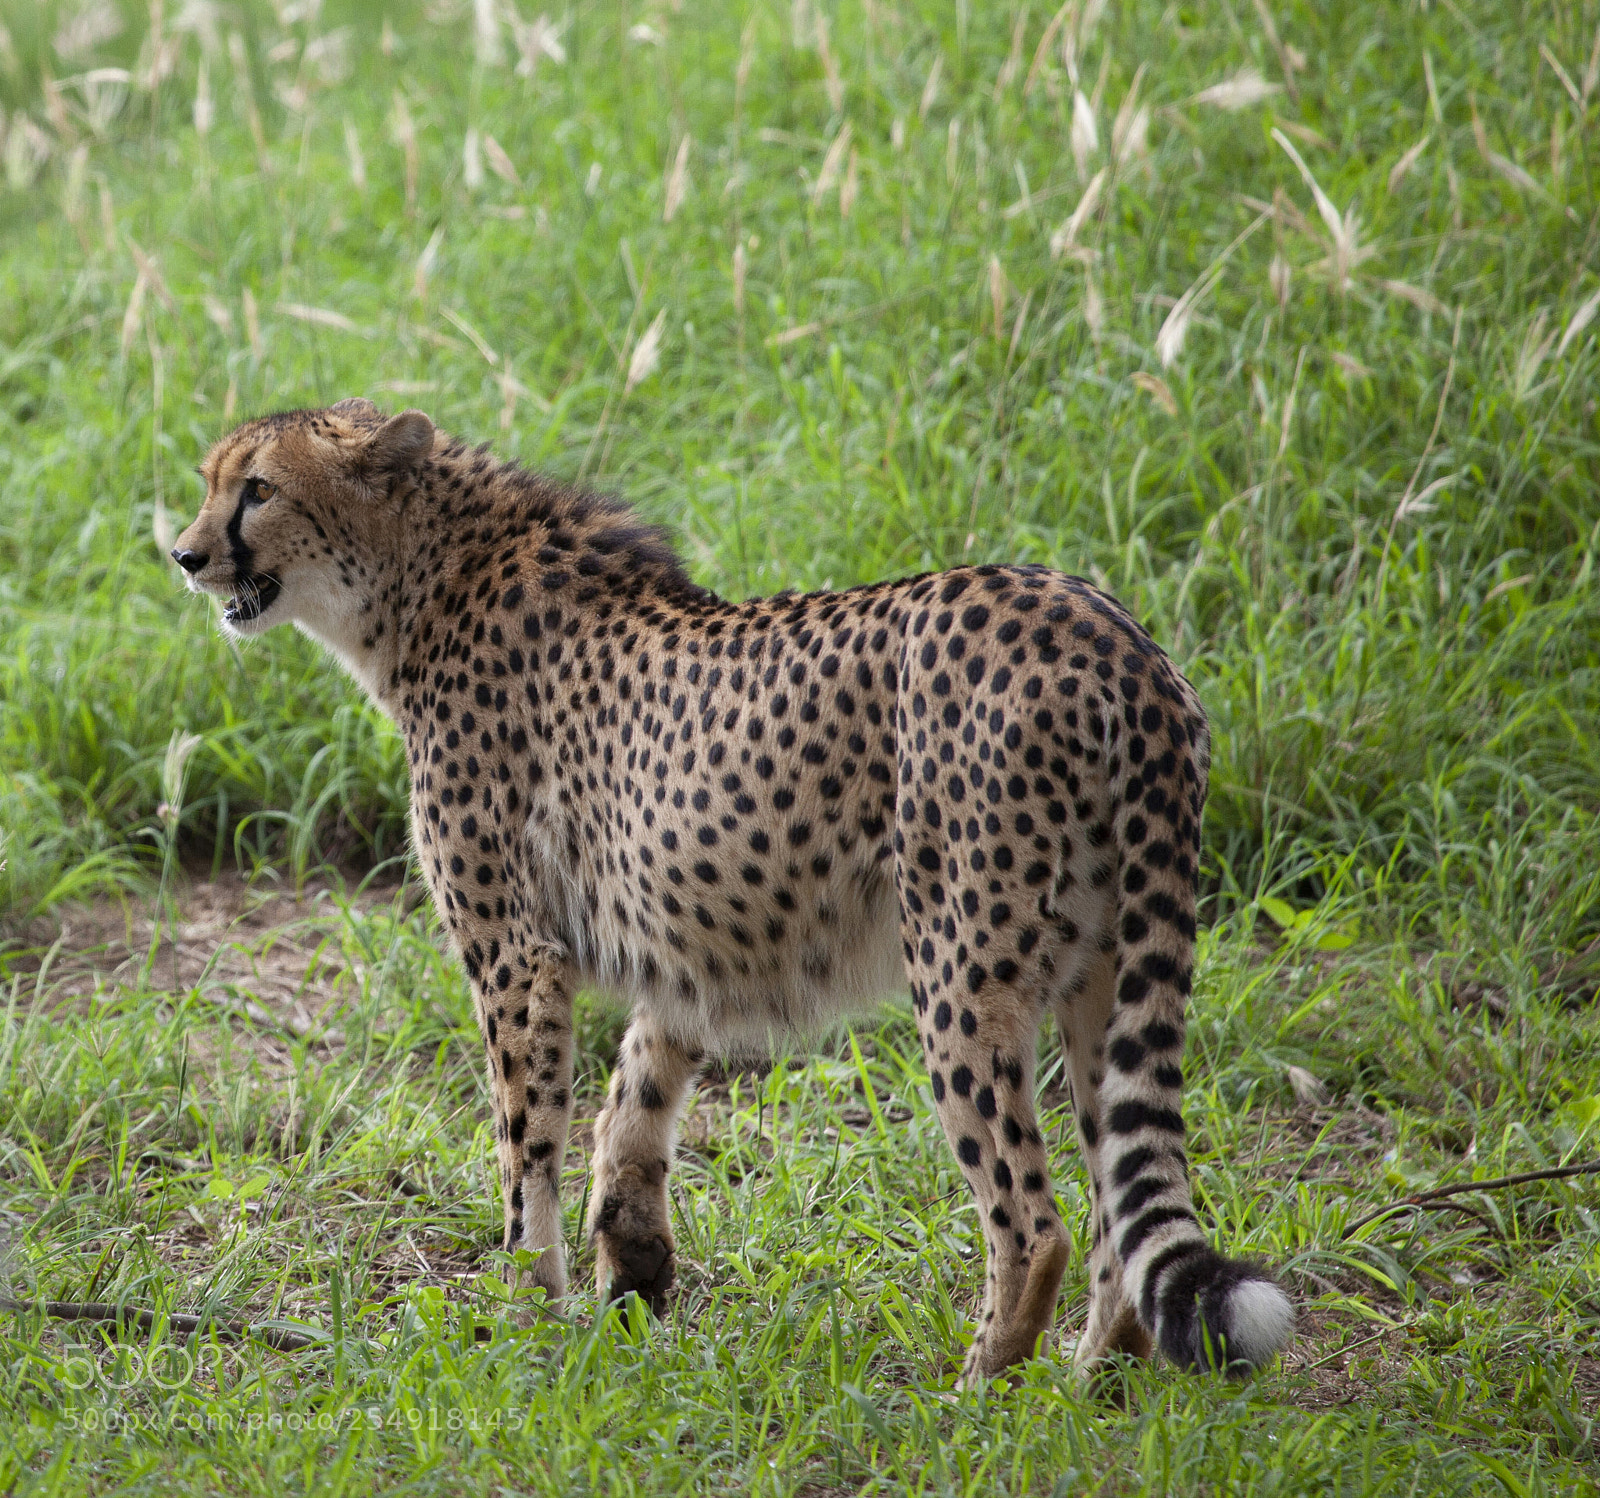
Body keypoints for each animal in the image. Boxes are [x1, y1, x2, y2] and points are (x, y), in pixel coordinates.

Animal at [171, 398, 1293, 1383]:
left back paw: (981, 1389)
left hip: (961, 975)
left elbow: (525, 1143)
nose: (183, 554)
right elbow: (632, 1095)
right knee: (1115, 1208)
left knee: (1035, 1217)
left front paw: (529, 1309)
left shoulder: (515, 955)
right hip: (1102, 969)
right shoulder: (685, 929)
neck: (422, 576)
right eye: (210, 482)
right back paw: (1090, 1378)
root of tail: (1114, 635)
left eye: (258, 489)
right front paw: (630, 1263)